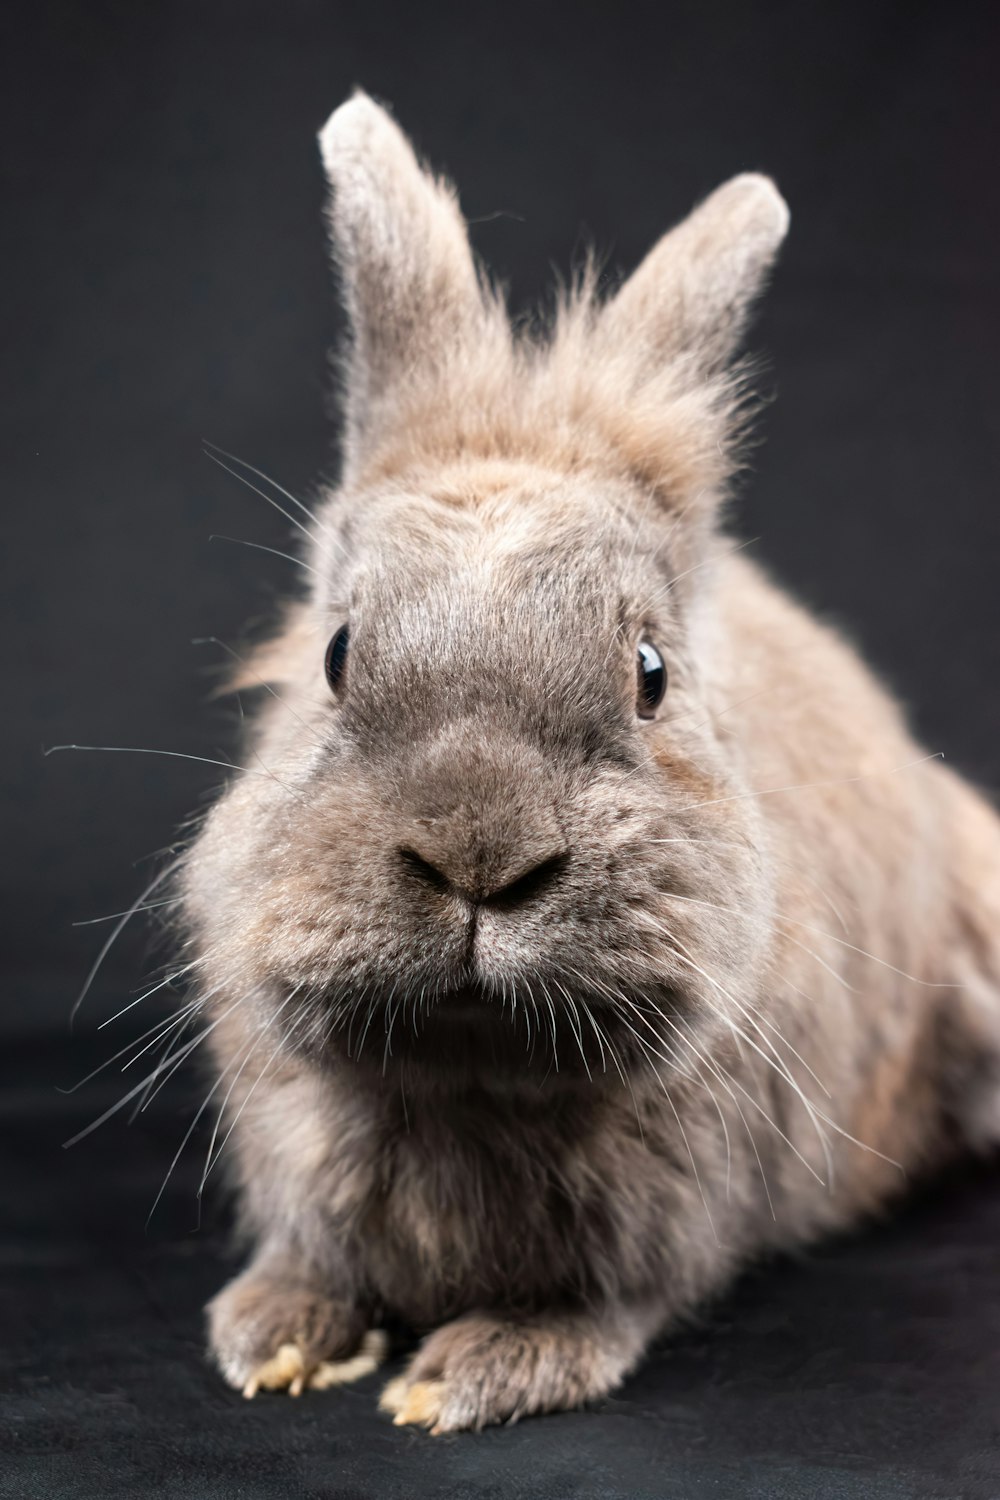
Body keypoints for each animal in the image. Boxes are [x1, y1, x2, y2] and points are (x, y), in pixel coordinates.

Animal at [177, 93, 1000, 1428]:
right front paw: (273, 1336)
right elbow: (305, 1261)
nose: (478, 858)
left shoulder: (677, 1208)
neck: (468, 1077)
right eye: (336, 653)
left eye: (650, 672)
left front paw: (479, 1373)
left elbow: (606, 1304)